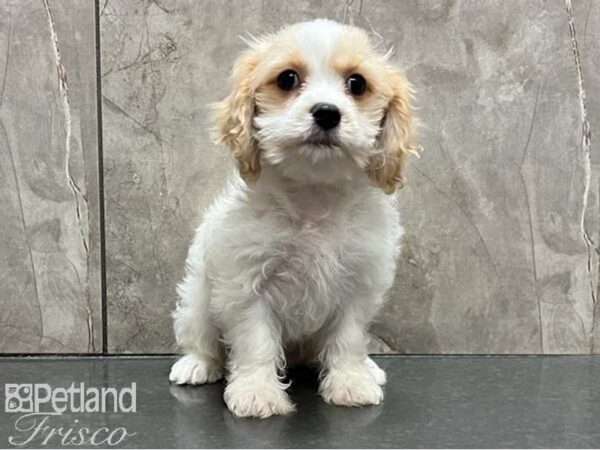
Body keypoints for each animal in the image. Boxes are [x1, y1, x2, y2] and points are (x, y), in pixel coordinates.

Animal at [166, 18, 414, 418]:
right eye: (287, 79)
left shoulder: (359, 284)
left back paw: (368, 369)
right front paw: (256, 392)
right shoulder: (246, 283)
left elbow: (348, 338)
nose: (327, 112)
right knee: (200, 337)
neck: (314, 193)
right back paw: (196, 364)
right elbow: (256, 341)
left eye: (357, 83)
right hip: (198, 299)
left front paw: (350, 383)